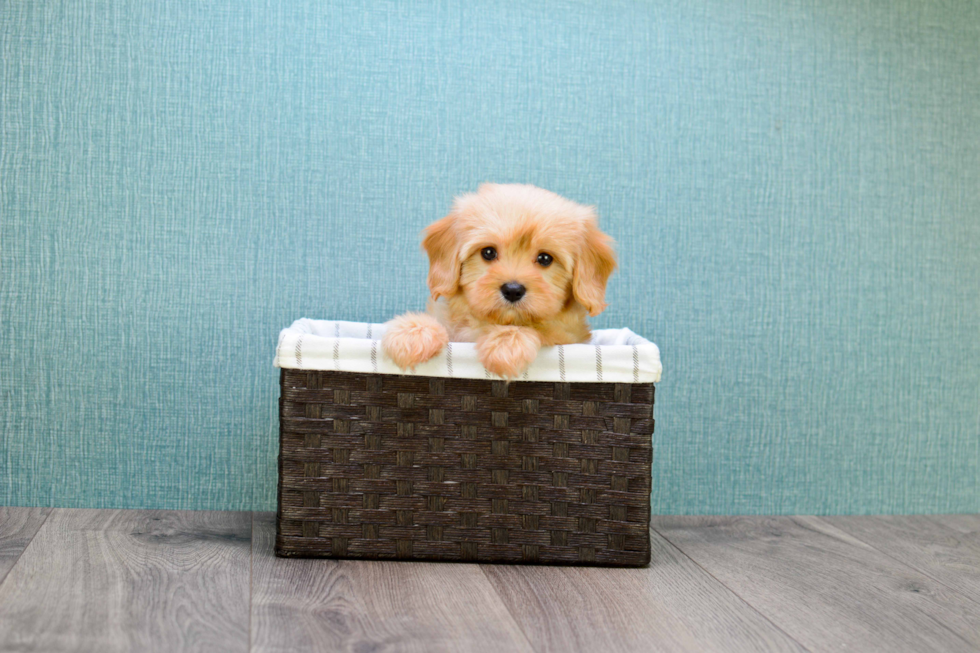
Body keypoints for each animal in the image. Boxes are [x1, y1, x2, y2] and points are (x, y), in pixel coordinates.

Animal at [380, 182, 612, 376]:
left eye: (545, 258)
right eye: (488, 253)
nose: (513, 290)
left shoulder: (568, 336)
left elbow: (540, 329)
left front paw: (506, 344)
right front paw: (412, 333)